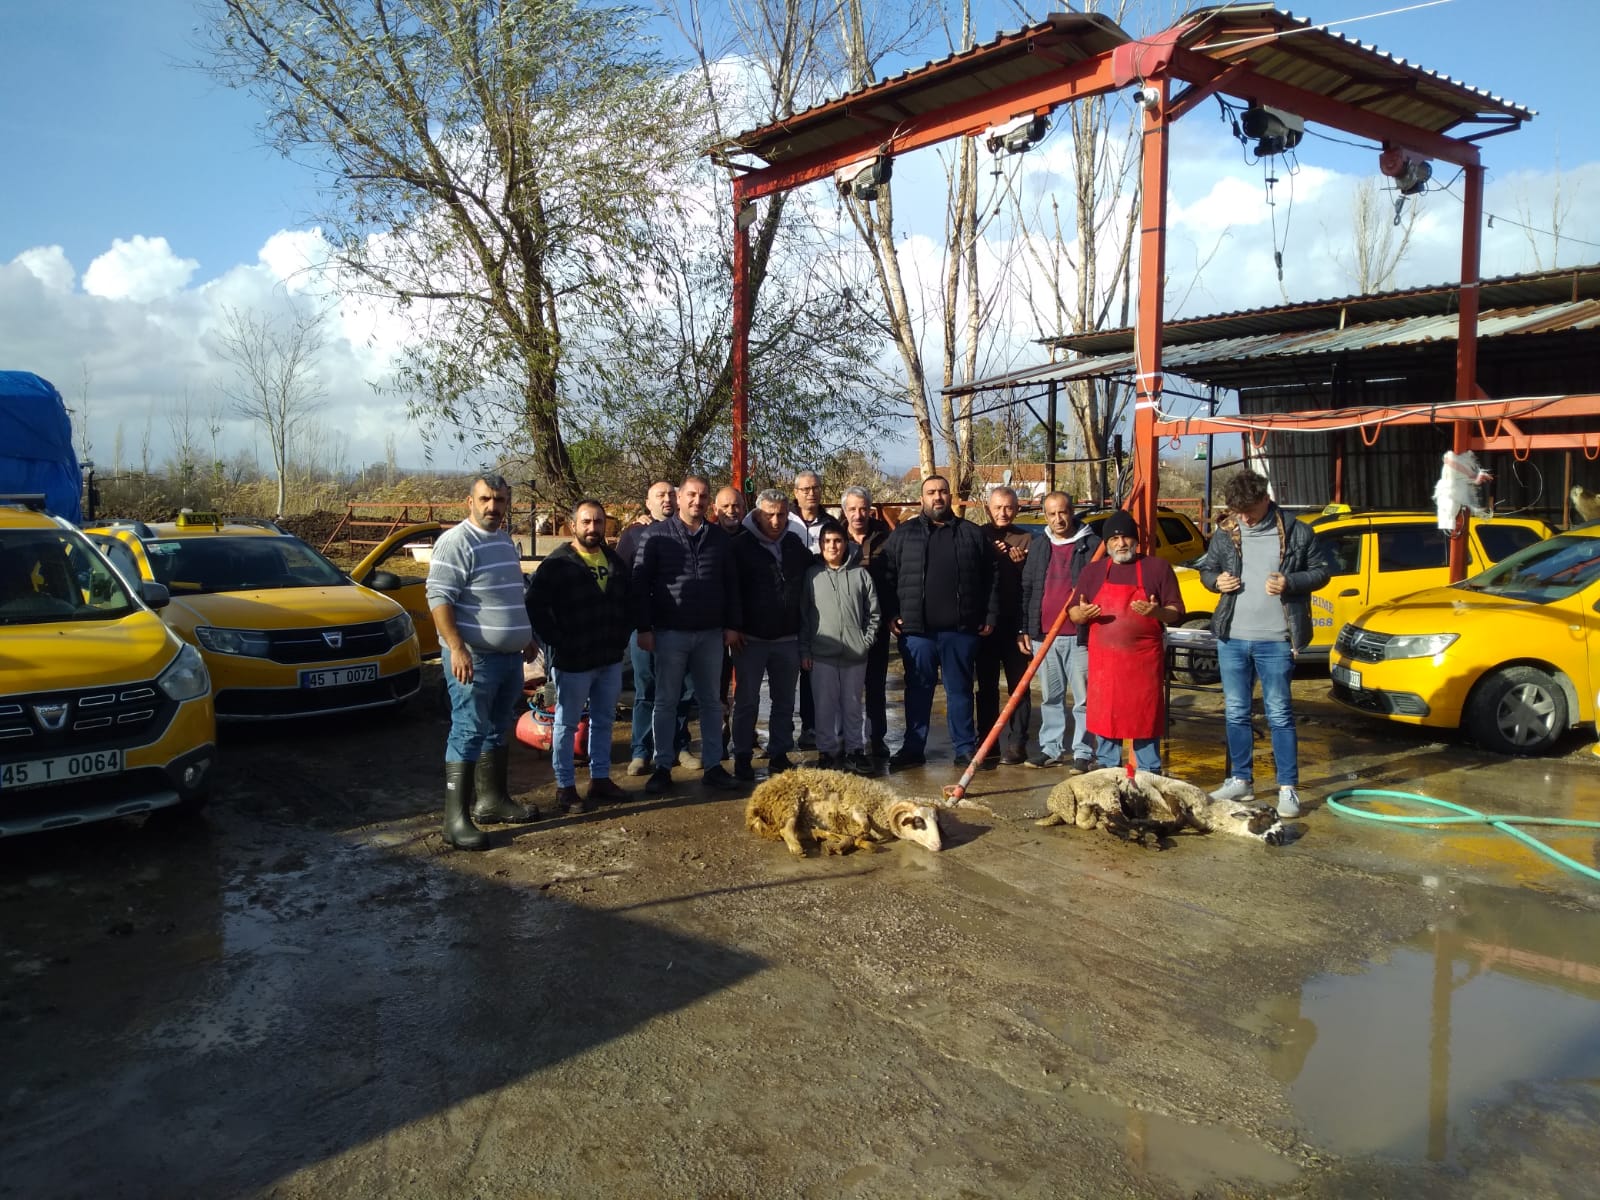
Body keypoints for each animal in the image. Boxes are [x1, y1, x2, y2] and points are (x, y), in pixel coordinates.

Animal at [742, 764, 940, 857]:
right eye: (918, 821)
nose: (938, 846)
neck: (882, 806)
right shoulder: (855, 804)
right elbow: (864, 824)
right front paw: (860, 834)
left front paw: (849, 841)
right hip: (789, 799)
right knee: (786, 829)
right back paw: (797, 848)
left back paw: (824, 836)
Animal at [1036, 771, 1286, 844]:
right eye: (1268, 817)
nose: (1279, 837)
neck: (1209, 810)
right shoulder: (1174, 794)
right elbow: (1178, 819)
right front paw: (1153, 827)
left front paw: (1152, 827)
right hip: (1106, 789)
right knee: (1117, 816)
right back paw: (1144, 834)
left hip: (1097, 805)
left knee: (1111, 821)